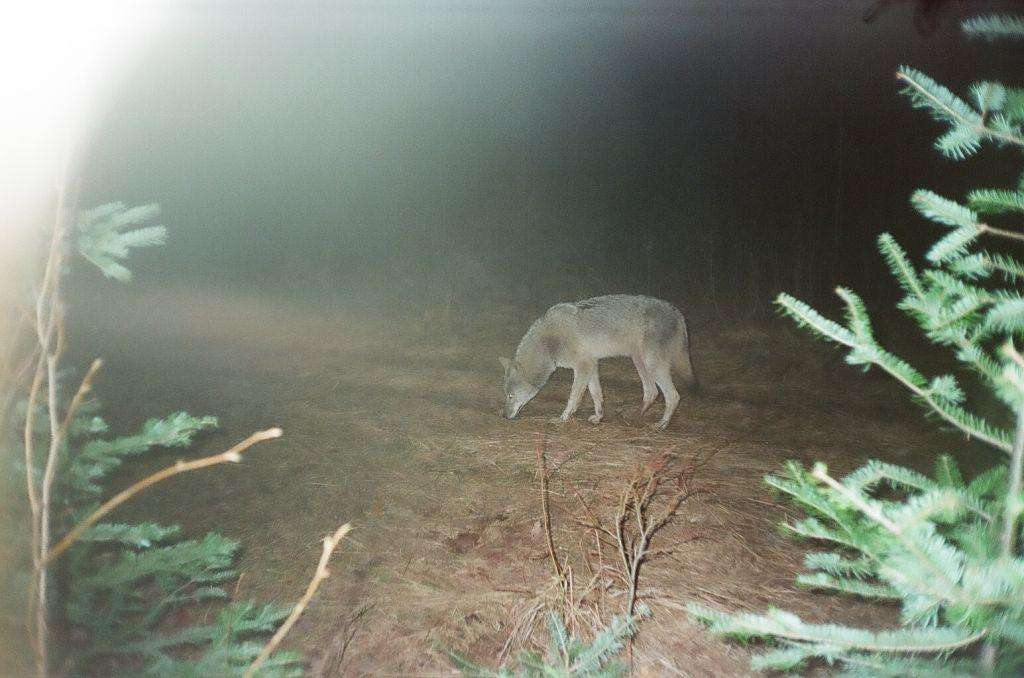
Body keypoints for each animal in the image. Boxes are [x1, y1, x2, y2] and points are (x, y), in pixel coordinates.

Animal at [500, 294, 698, 429]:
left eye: (510, 396)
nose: (504, 416)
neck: (549, 343)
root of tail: (677, 312)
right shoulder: (591, 365)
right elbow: (597, 394)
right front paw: (599, 417)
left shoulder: (583, 366)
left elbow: (573, 397)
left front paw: (562, 419)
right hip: (639, 362)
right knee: (651, 392)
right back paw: (635, 415)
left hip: (652, 365)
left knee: (673, 396)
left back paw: (661, 424)